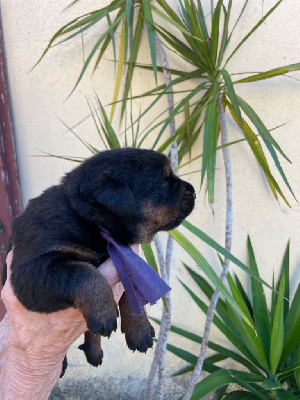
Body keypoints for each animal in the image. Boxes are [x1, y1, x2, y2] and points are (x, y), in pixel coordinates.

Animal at [1, 148, 195, 376]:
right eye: (163, 182)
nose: (194, 192)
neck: (90, 221)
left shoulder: (122, 258)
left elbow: (131, 290)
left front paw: (139, 328)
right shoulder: (32, 270)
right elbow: (83, 273)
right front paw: (104, 311)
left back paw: (94, 351)